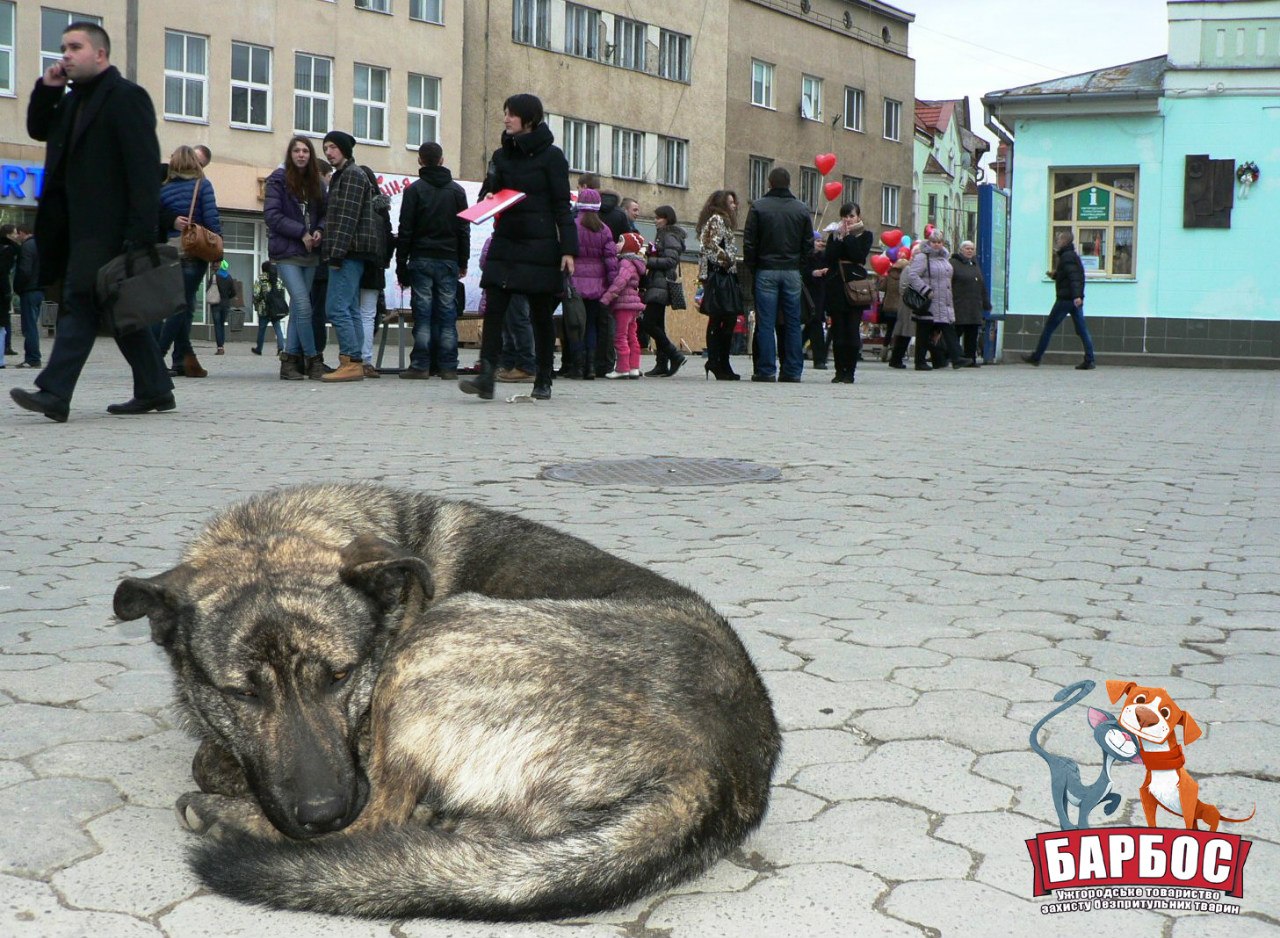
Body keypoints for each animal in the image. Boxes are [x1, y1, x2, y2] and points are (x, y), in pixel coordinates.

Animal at [115, 483, 778, 916]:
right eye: (242, 693)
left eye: (340, 676)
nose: (322, 813)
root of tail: (721, 770)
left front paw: (226, 785)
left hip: (437, 637)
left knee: (381, 816)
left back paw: (226, 817)